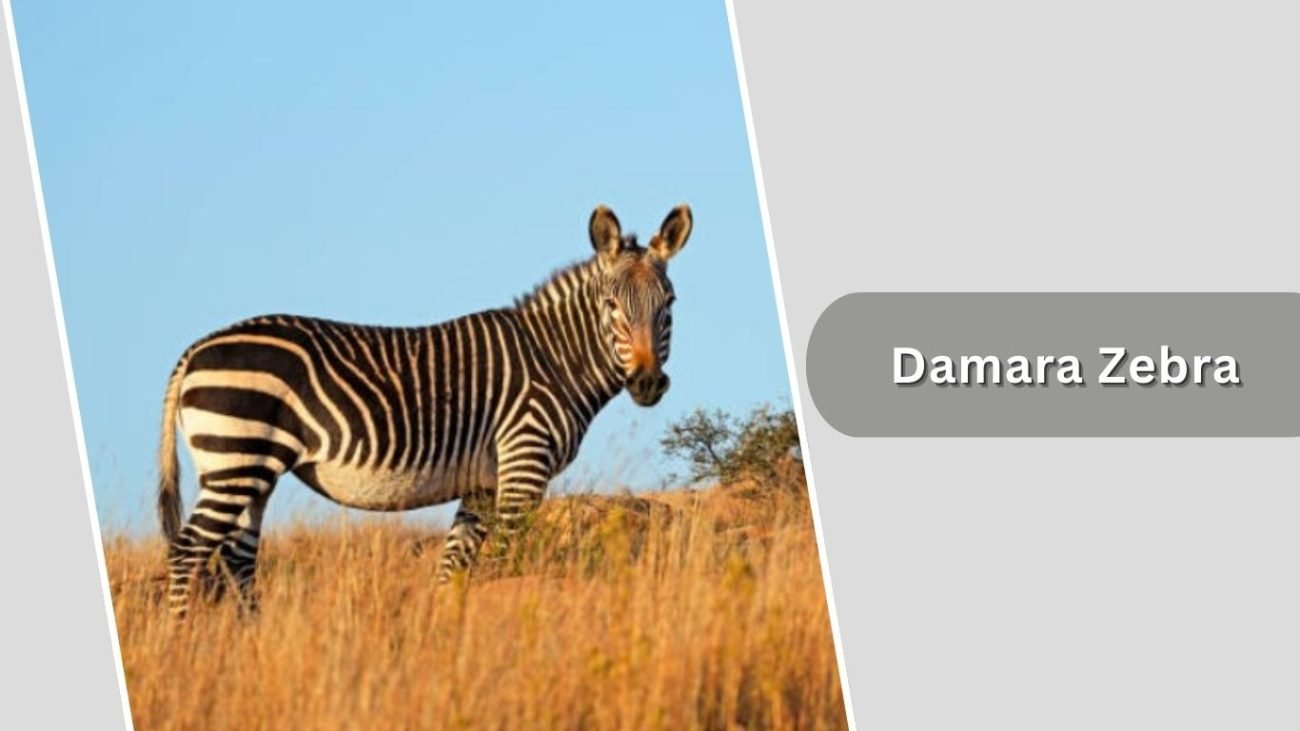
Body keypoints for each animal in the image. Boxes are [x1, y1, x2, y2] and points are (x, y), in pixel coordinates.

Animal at [156, 203, 693, 616]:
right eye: (611, 306)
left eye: (669, 303)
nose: (647, 383)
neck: (553, 359)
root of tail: (194, 351)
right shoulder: (523, 463)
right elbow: (506, 561)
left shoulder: (483, 482)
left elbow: (453, 570)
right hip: (236, 458)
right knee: (188, 550)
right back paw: (184, 643)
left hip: (249, 471)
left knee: (237, 559)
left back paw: (250, 641)